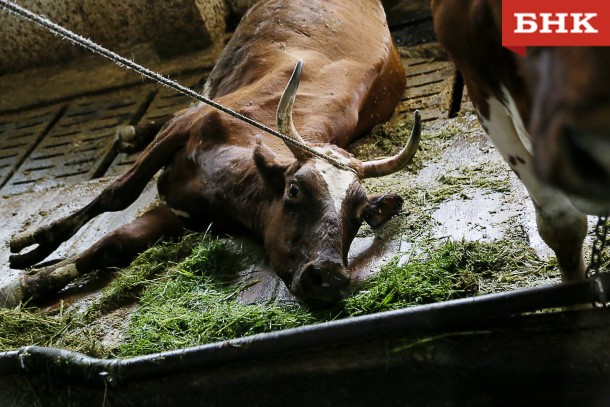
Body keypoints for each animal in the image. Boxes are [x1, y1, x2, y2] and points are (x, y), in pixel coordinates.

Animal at [2, 0, 420, 308]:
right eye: (294, 190)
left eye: (361, 214)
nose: (329, 276)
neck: (225, 185)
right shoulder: (184, 127)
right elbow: (115, 195)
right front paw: (33, 249)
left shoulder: (181, 213)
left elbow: (113, 245)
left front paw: (27, 286)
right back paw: (131, 132)